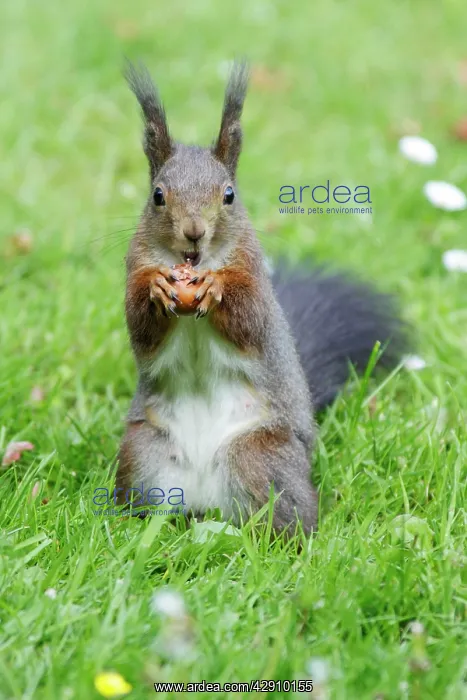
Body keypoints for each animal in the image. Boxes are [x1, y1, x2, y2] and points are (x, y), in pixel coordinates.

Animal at [116, 61, 407, 534]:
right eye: (158, 195)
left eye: (229, 195)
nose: (194, 232)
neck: (198, 263)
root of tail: (203, 500)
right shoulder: (134, 267)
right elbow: (141, 327)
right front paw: (158, 288)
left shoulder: (254, 278)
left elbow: (250, 320)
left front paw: (217, 289)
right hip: (144, 453)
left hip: (260, 458)